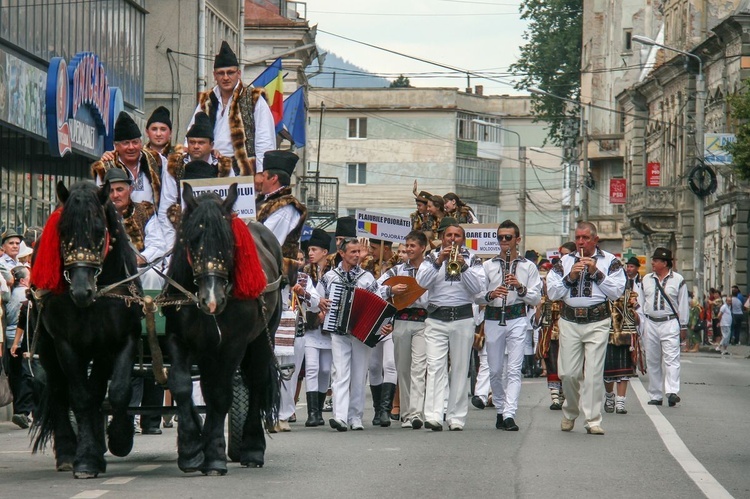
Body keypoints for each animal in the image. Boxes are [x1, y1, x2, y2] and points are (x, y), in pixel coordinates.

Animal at [31, 181, 142, 480]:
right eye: (63, 231)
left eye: (99, 229)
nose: (81, 291)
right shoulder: (65, 344)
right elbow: (80, 397)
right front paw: (86, 460)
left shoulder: (120, 340)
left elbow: (117, 391)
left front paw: (120, 437)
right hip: (46, 347)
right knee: (59, 390)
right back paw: (69, 452)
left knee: (95, 390)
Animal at [164, 184, 282, 476]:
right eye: (192, 238)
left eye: (229, 242)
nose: (212, 298)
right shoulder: (178, 339)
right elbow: (182, 385)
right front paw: (191, 451)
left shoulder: (231, 345)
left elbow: (220, 395)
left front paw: (214, 456)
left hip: (262, 339)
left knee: (255, 382)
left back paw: (252, 448)